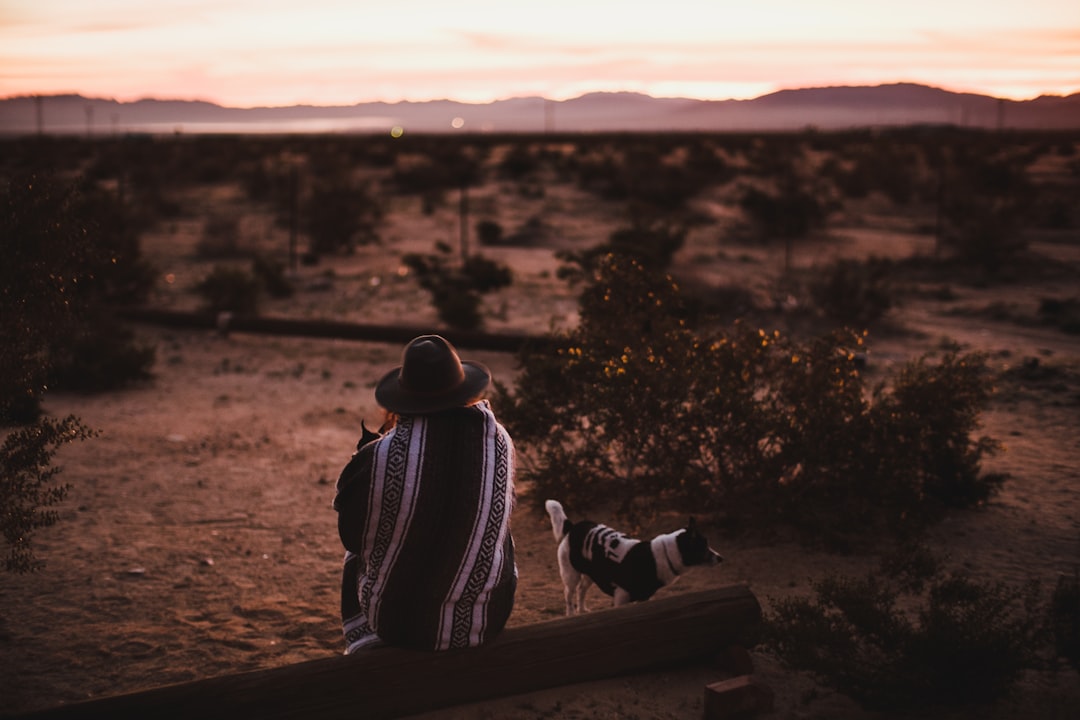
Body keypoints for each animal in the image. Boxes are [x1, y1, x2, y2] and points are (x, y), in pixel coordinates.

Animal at [544, 500, 721, 613]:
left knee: (581, 590)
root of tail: (572, 528)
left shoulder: (643, 598)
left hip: (590, 574)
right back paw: (571, 614)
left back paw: (582, 610)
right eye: (703, 547)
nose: (721, 558)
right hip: (570, 575)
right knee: (569, 595)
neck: (660, 556)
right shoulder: (620, 598)